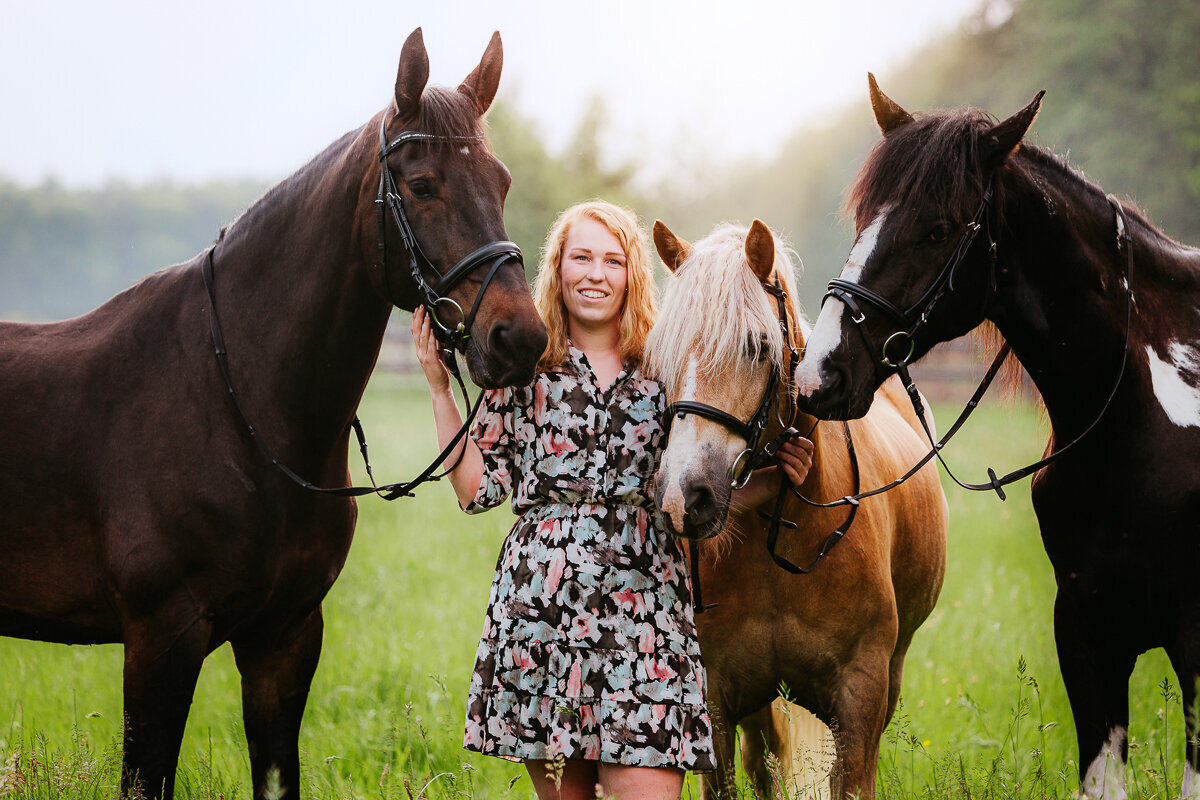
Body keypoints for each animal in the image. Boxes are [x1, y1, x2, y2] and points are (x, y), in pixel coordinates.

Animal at [0, 28, 544, 796]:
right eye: (422, 185)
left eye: (500, 182)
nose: (518, 339)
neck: (236, 406)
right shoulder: (161, 640)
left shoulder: (284, 638)